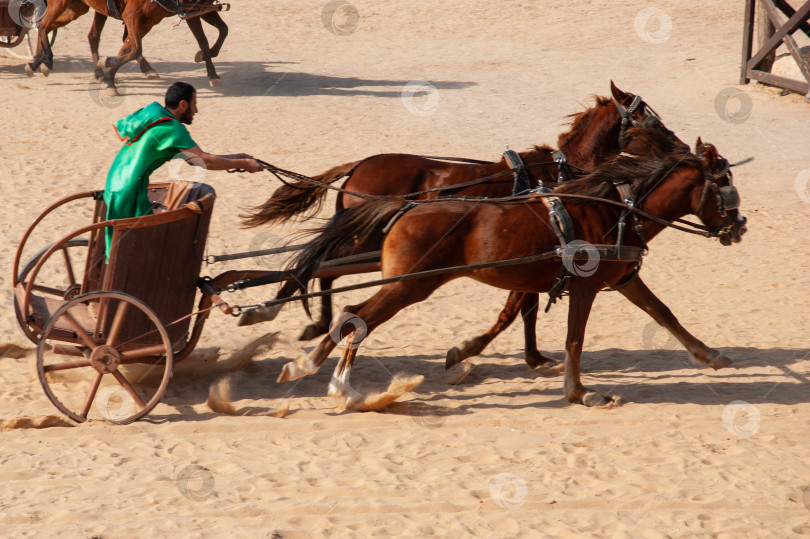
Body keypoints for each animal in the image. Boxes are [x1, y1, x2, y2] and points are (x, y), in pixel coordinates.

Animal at [26, 0, 226, 93]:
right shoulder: (132, 15)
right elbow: (135, 48)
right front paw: (108, 68)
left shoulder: (155, 17)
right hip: (63, 4)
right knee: (43, 26)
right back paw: (46, 60)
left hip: (78, 8)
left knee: (86, 35)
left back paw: (36, 63)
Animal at [243, 82, 684, 370]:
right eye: (647, 118)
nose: (680, 145)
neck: (561, 173)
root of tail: (359, 166)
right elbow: (520, 308)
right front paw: (520, 355)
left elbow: (525, 308)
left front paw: (533, 356)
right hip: (363, 240)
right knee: (319, 266)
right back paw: (293, 316)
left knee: (322, 266)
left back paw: (305, 319)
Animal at [274, 130, 744, 410]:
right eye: (727, 189)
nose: (740, 226)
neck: (616, 209)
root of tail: (405, 207)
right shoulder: (586, 288)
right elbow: (574, 339)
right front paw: (578, 391)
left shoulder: (624, 278)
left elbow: (663, 313)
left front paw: (709, 354)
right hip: (410, 285)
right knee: (357, 316)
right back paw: (337, 384)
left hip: (403, 283)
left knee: (350, 311)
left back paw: (311, 368)